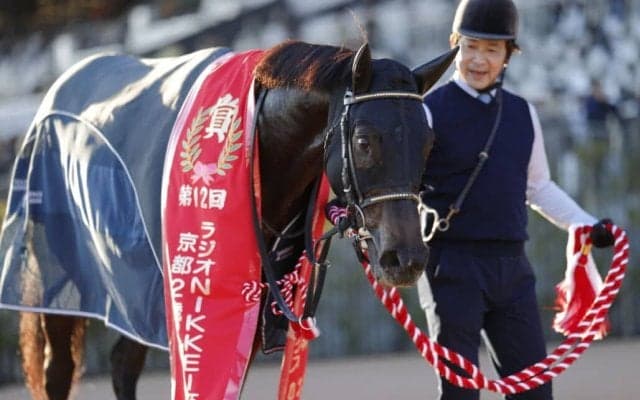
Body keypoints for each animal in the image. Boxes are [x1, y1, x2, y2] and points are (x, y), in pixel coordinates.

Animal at [0, 39, 457, 399]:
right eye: (363, 141)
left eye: (429, 142)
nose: (406, 258)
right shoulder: (196, 304)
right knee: (59, 371)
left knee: (122, 364)